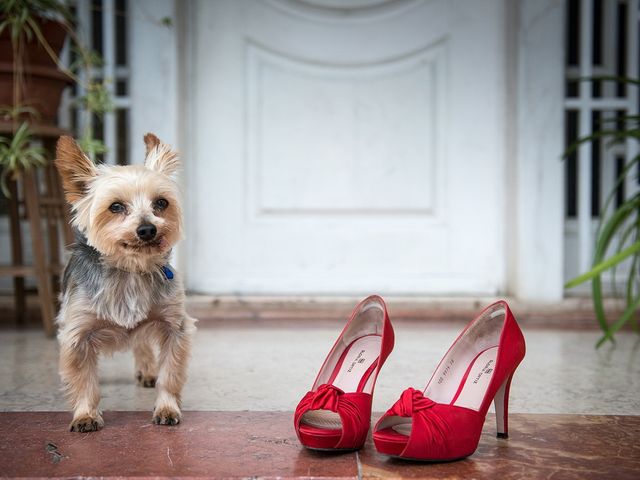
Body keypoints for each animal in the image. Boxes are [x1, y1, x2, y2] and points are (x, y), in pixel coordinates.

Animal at [54, 134, 195, 432]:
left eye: (161, 203)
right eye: (116, 206)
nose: (148, 229)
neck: (130, 268)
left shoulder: (174, 328)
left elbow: (170, 374)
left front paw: (167, 408)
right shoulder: (77, 334)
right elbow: (84, 380)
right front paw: (85, 414)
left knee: (141, 343)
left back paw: (147, 370)